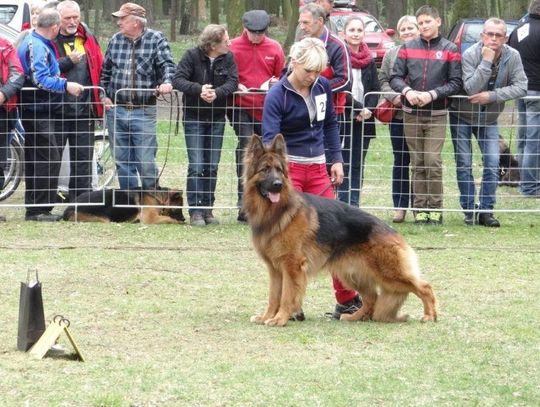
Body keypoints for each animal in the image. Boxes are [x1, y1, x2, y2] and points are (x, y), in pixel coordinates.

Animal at [245, 134, 438, 328]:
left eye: (279, 170)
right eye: (265, 169)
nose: (278, 184)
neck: (277, 211)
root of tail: (393, 232)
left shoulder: (292, 266)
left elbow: (286, 296)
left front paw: (280, 318)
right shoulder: (275, 269)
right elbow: (273, 296)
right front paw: (266, 316)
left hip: (388, 274)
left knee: (425, 287)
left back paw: (430, 315)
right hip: (352, 275)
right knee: (372, 298)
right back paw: (354, 317)